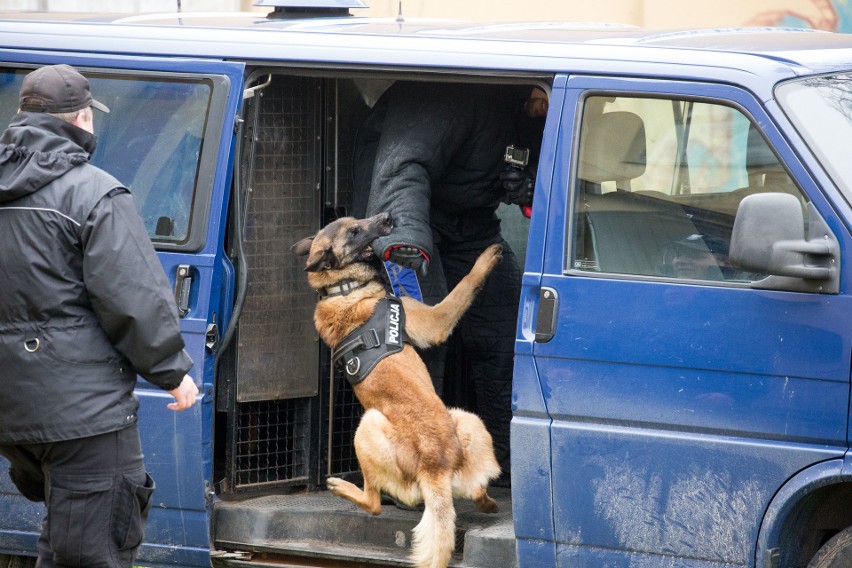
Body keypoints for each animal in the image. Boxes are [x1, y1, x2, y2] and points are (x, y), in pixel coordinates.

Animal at [292, 213, 502, 568]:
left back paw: (489, 505)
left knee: (476, 490)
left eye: (356, 221)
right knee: (374, 503)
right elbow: (463, 287)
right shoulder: (433, 320)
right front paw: (486, 258)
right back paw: (342, 487)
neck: (341, 288)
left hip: (467, 419)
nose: (388, 217)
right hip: (367, 426)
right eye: (354, 231)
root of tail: (435, 466)